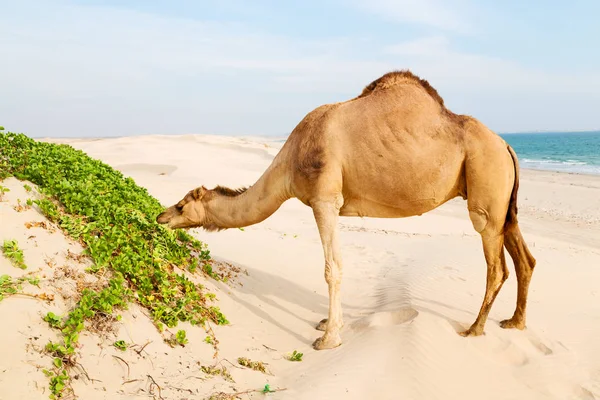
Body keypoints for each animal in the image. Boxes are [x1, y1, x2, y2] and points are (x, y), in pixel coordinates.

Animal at [155, 69, 536, 350]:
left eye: (181, 205)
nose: (160, 217)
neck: (290, 162)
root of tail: (506, 145)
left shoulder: (324, 199)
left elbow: (332, 268)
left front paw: (328, 338)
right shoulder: (333, 206)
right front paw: (327, 322)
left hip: (486, 189)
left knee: (496, 266)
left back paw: (475, 328)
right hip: (505, 201)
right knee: (524, 259)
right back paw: (515, 322)